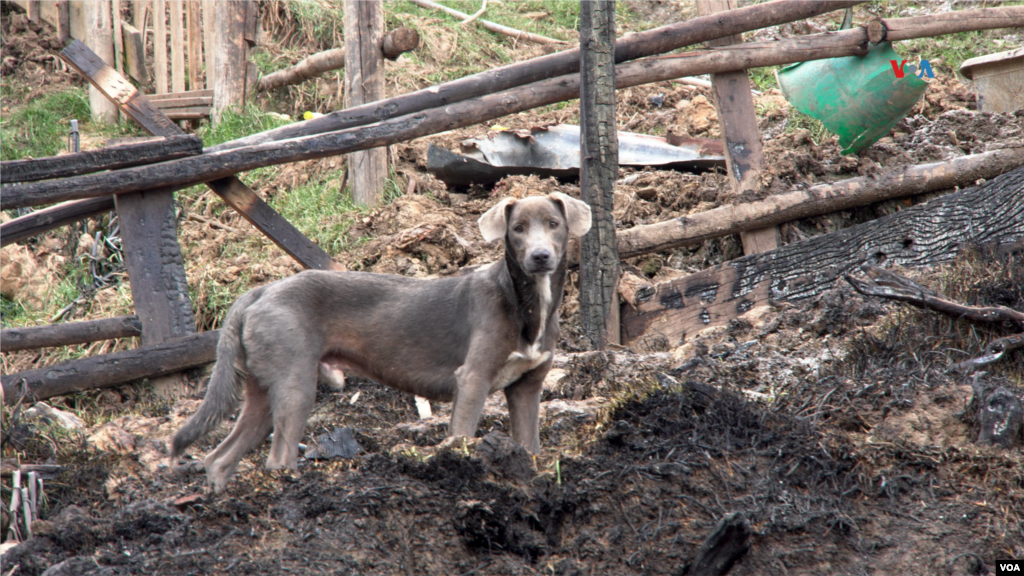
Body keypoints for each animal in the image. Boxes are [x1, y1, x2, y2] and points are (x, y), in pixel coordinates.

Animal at [169, 191, 593, 487]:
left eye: (553, 223)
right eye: (517, 229)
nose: (540, 256)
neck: (525, 304)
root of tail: (260, 291)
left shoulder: (527, 387)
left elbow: (530, 446)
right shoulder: (472, 380)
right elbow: (461, 436)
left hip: (261, 388)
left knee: (218, 459)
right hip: (295, 383)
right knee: (278, 459)